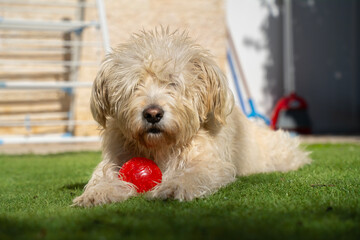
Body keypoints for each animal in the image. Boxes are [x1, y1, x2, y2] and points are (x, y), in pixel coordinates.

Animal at [72, 28, 310, 207]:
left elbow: (194, 172)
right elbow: (105, 174)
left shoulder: (211, 163)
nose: (152, 114)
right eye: (134, 86)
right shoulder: (116, 159)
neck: (160, 147)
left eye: (173, 83)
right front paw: (99, 192)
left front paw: (175, 186)